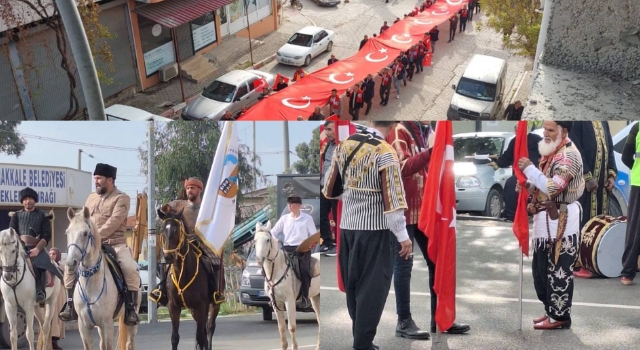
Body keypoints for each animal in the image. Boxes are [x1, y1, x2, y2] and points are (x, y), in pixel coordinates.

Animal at [65, 206, 139, 348]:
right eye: (67, 232)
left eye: (85, 233)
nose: (71, 263)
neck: (90, 284)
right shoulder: (84, 326)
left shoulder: (107, 324)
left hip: (131, 321)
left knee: (130, 343)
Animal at [156, 208, 224, 350]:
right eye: (162, 230)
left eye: (177, 230)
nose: (168, 257)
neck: (183, 272)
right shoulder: (173, 306)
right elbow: (175, 338)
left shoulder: (201, 305)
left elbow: (201, 335)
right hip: (194, 310)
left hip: (214, 305)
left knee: (209, 328)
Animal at [251, 221, 318, 350]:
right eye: (255, 240)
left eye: (267, 240)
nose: (259, 259)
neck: (276, 270)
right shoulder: (276, 303)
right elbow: (281, 327)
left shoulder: (289, 301)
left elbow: (291, 327)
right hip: (315, 298)